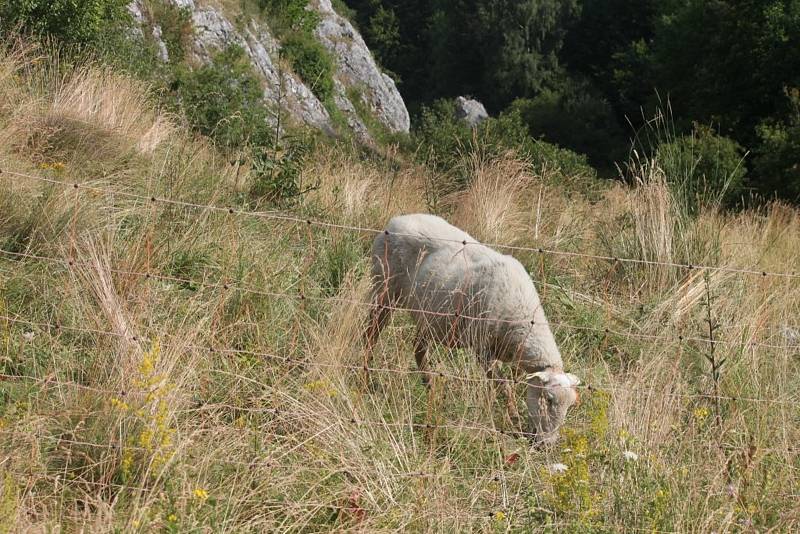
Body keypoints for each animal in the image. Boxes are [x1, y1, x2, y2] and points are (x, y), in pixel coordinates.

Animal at [364, 213, 580, 444]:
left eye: (570, 405)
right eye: (548, 399)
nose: (546, 444)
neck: (522, 316)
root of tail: (397, 219)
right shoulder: (483, 348)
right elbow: (503, 386)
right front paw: (512, 417)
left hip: (429, 315)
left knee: (418, 348)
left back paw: (430, 386)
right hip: (385, 289)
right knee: (370, 333)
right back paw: (367, 377)